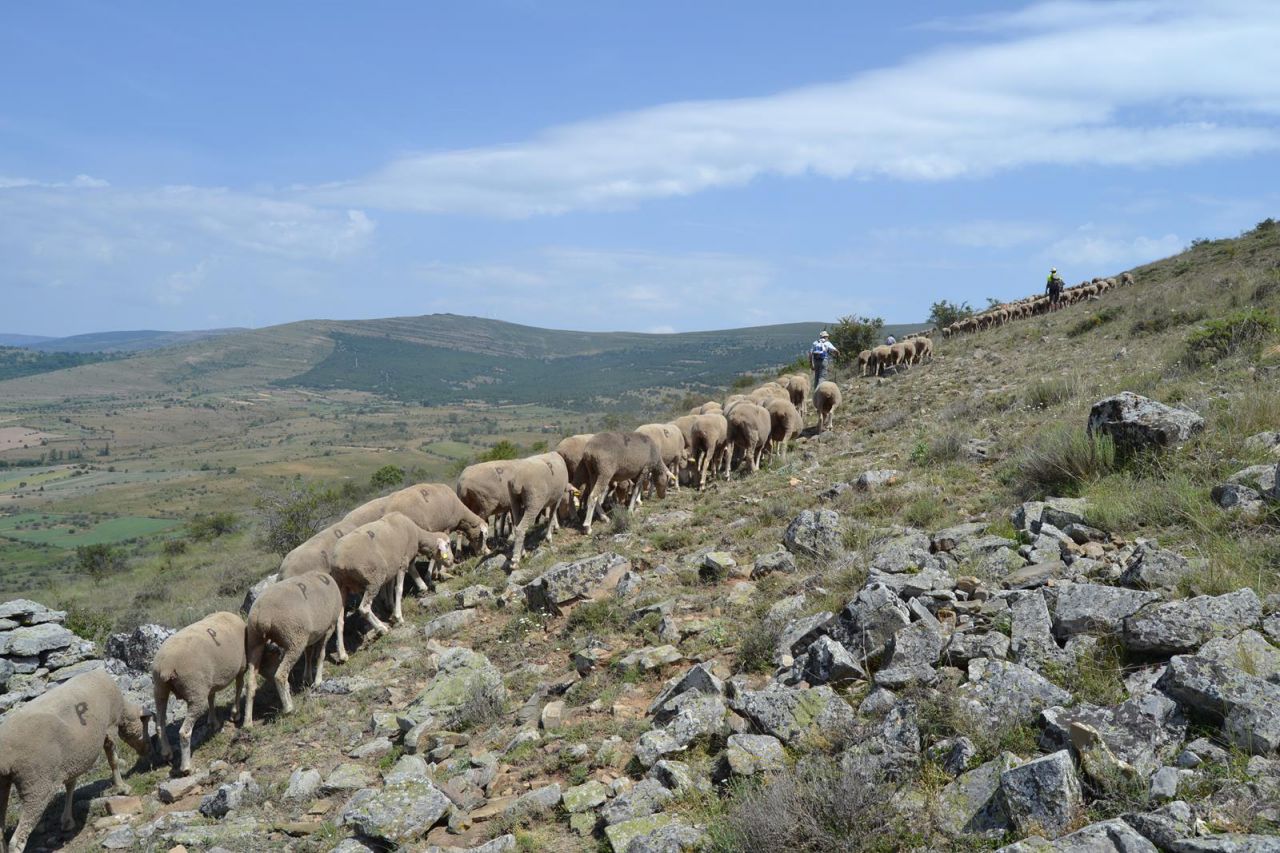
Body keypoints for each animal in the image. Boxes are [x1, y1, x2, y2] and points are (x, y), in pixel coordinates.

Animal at [0, 670, 150, 853]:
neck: (123, 710)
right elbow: (113, 760)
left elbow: (71, 784)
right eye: (146, 726)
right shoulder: (110, 727)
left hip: (3, 783)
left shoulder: (71, 758)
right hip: (36, 784)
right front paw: (122, 787)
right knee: (18, 839)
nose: (148, 751)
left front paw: (67, 821)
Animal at [151, 611, 247, 776]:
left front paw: (213, 722)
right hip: (194, 692)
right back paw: (186, 767)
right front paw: (235, 714)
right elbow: (239, 686)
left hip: (160, 689)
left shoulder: (208, 682)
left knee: (160, 724)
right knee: (184, 732)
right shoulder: (241, 667)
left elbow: (212, 697)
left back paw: (166, 753)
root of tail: (166, 666)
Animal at [243, 569, 344, 727]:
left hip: (255, 642)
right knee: (280, 675)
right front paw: (317, 681)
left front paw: (307, 678)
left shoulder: (310, 635)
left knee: (250, 683)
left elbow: (309, 654)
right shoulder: (328, 628)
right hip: (293, 639)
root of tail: (262, 616)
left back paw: (247, 722)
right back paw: (288, 708)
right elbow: (320, 655)